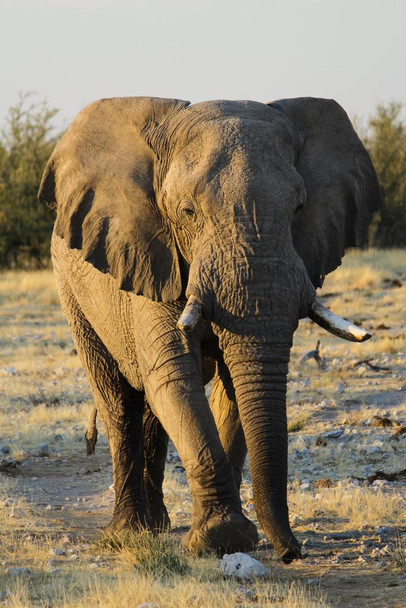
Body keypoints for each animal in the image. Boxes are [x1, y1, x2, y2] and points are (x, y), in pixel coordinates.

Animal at [37, 97, 380, 564]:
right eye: (188, 212)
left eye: (298, 209)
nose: (292, 553)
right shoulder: (150, 255)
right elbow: (173, 375)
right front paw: (223, 538)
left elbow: (231, 387)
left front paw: (231, 536)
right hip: (71, 288)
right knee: (119, 400)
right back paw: (128, 533)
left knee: (151, 410)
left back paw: (158, 525)